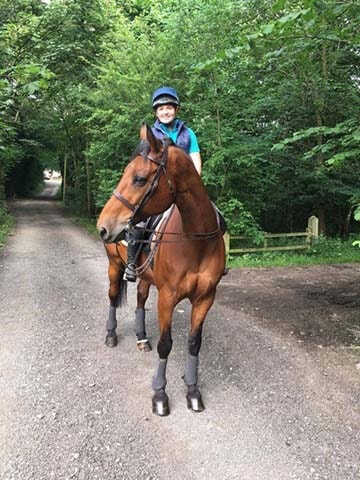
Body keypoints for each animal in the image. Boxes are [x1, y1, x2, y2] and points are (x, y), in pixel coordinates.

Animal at [95, 124, 225, 416]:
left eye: (140, 179)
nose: (103, 226)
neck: (196, 240)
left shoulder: (205, 298)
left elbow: (194, 343)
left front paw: (193, 391)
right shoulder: (167, 297)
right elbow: (166, 345)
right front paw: (160, 395)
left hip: (145, 276)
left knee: (140, 300)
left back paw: (142, 337)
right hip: (114, 266)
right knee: (112, 298)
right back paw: (111, 335)